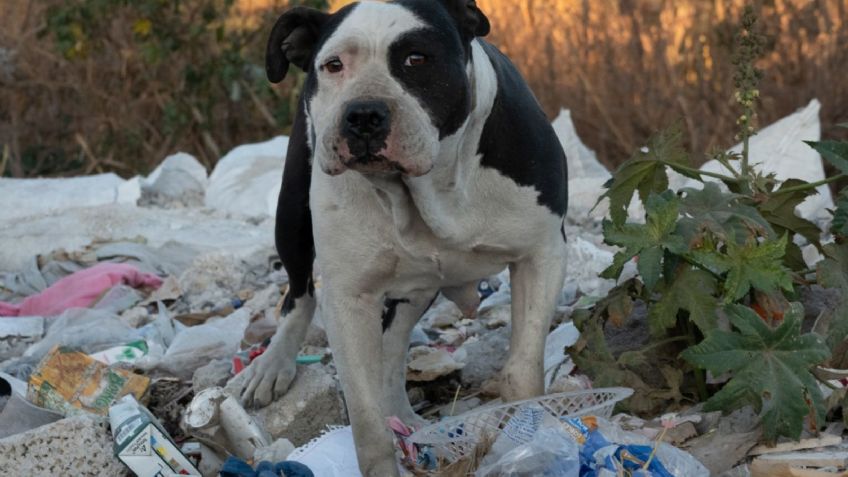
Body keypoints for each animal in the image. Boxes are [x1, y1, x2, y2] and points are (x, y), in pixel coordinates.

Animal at [238, 1, 568, 474]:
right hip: (292, 215)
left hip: (418, 286)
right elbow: (366, 418)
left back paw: (405, 416)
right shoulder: (349, 296)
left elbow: (523, 370)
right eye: (333, 65)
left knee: (393, 345)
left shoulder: (542, 254)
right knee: (299, 296)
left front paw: (529, 439)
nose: (363, 114)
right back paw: (273, 364)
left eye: (416, 59)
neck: (431, 190)